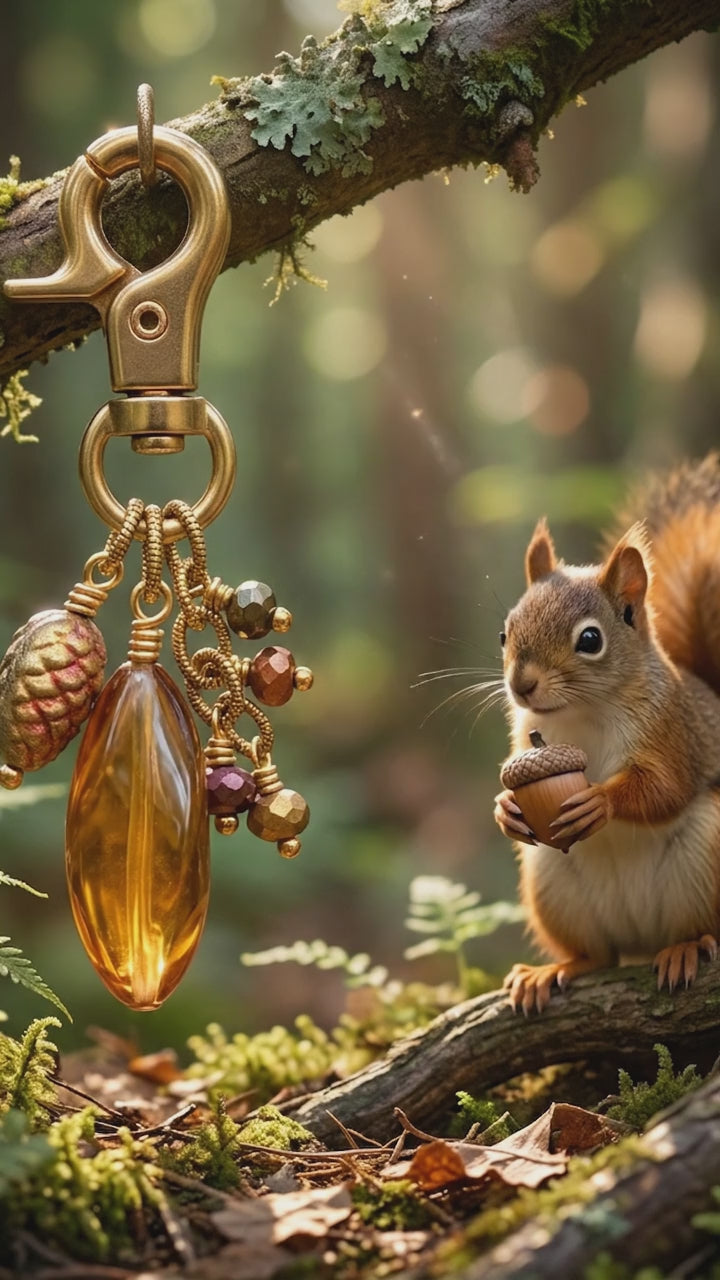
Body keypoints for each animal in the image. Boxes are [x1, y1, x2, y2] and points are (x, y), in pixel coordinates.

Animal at [494, 454, 720, 1013]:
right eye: (505, 633)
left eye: (591, 640)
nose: (521, 685)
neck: (582, 713)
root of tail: (642, 940)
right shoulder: (525, 737)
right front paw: (505, 809)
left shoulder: (672, 731)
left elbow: (664, 788)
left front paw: (601, 801)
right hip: (552, 884)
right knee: (597, 955)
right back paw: (555, 969)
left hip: (706, 860)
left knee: (698, 930)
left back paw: (684, 948)